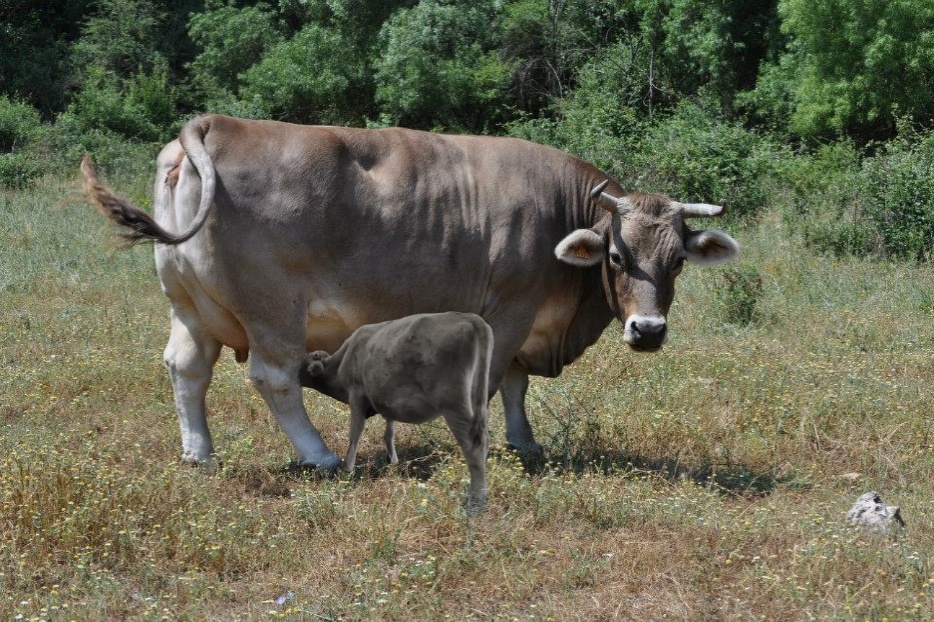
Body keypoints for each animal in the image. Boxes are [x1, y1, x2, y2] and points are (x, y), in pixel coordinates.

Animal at [80, 114, 739, 471]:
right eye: (618, 257)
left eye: (678, 261)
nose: (648, 331)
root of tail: (215, 124)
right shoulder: (508, 310)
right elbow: (493, 380)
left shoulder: (526, 320)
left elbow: (516, 386)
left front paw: (525, 443)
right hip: (272, 311)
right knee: (274, 378)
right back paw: (319, 455)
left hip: (190, 306)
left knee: (186, 369)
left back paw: (200, 452)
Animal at [298, 312, 493, 515]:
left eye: (304, 363)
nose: (294, 375)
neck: (341, 362)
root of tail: (470, 318)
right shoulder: (387, 402)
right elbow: (389, 432)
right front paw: (392, 460)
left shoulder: (357, 395)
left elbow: (355, 434)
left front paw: (346, 469)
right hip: (476, 400)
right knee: (484, 439)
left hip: (454, 403)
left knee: (474, 445)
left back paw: (476, 503)